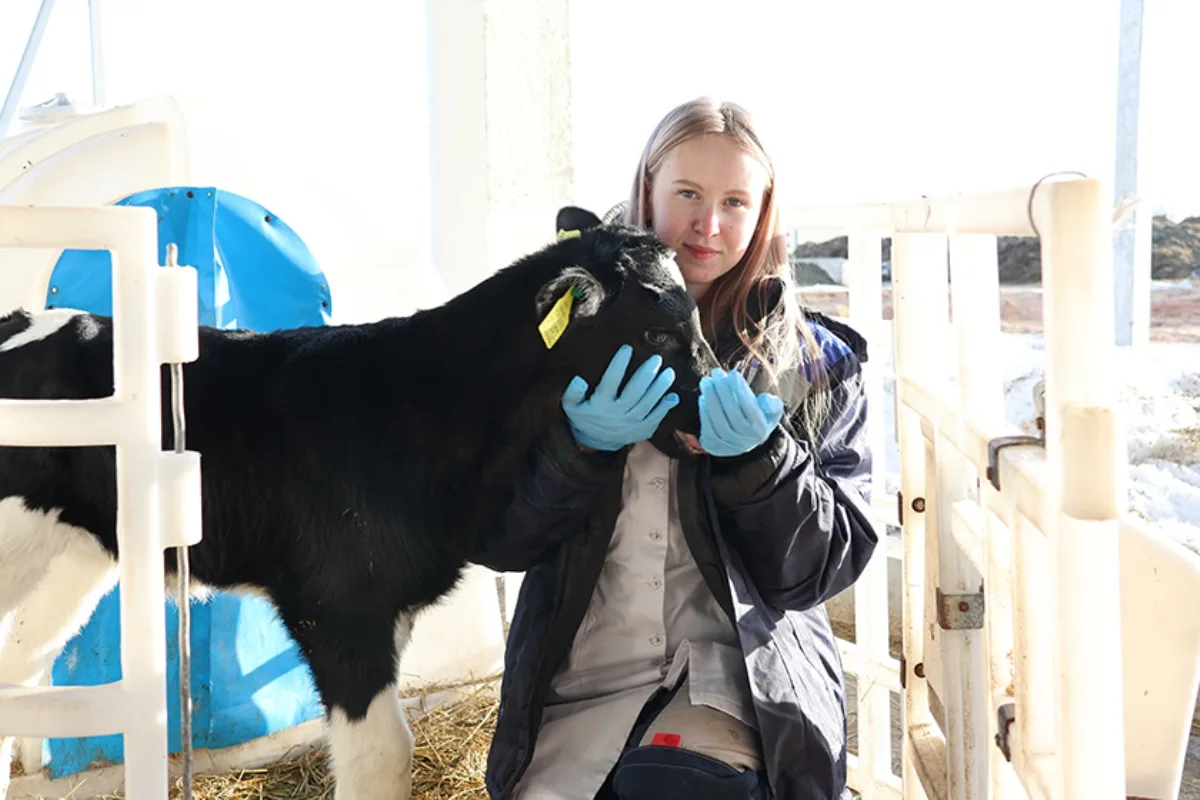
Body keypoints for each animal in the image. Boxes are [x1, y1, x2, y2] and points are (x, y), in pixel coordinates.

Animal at [0, 205, 718, 800]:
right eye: (658, 334)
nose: (721, 405)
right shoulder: (337, 606)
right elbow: (383, 757)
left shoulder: (390, 601)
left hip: (74, 556)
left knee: (21, 665)